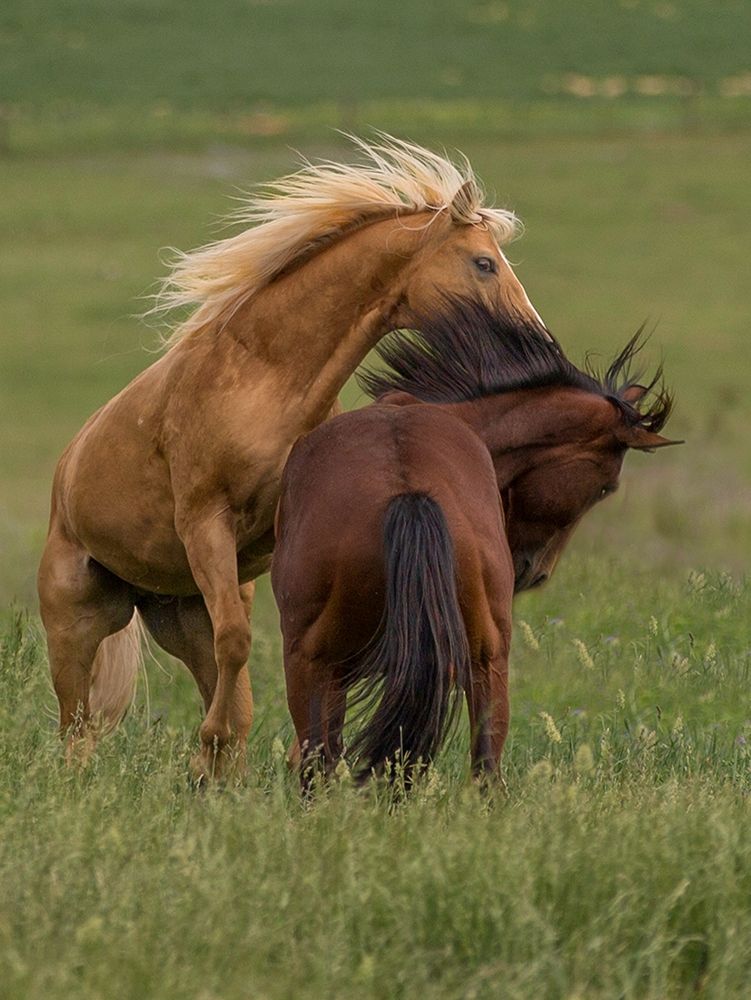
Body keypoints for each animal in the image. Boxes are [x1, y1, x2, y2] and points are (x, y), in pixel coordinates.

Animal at [37, 135, 547, 777]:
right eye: (484, 263)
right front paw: (210, 750)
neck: (266, 375)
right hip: (76, 623)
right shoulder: (205, 521)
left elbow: (240, 664)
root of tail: (66, 475)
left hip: (180, 615)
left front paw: (222, 758)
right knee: (76, 726)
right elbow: (238, 643)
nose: (540, 345)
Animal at [271, 298, 679, 789]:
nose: (533, 571)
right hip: (486, 658)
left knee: (320, 766)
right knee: (485, 767)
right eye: (607, 487)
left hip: (313, 661)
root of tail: (409, 491)